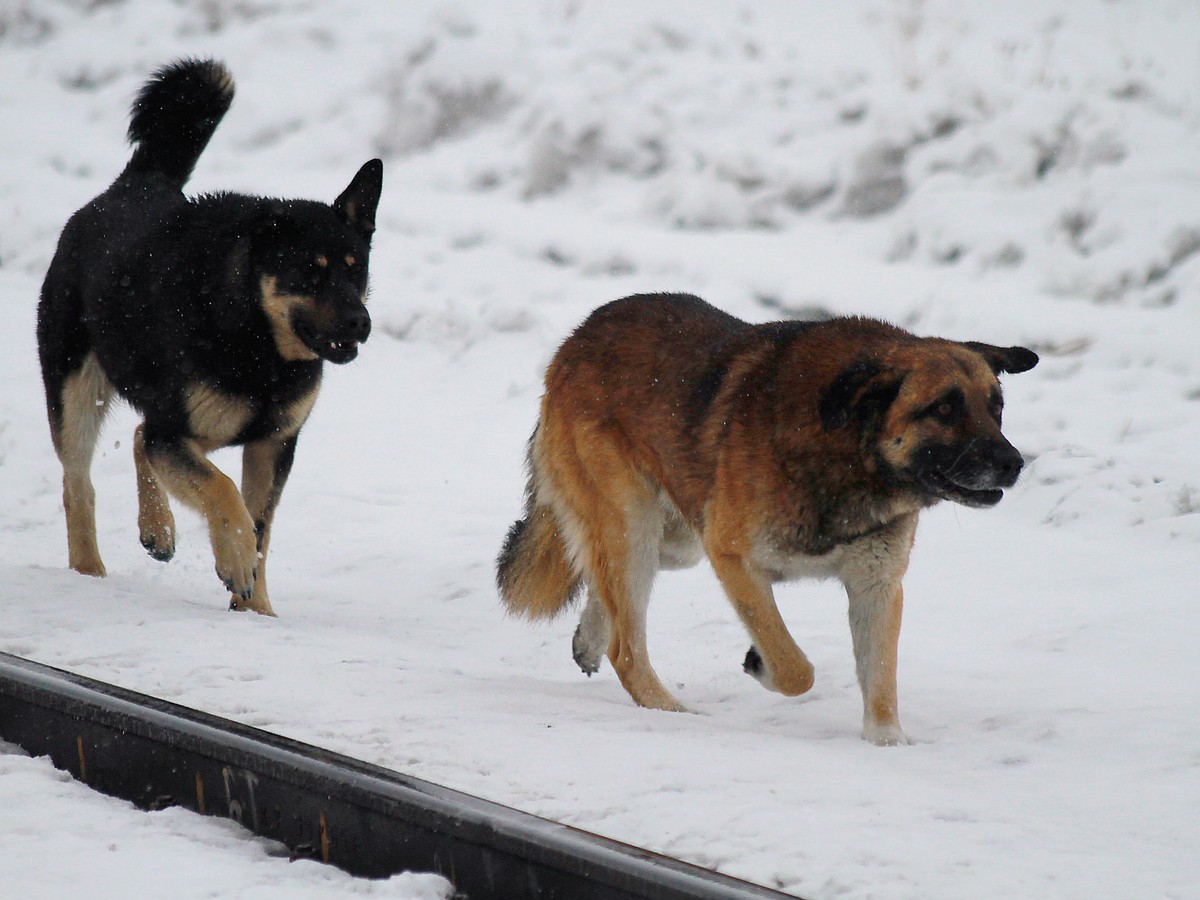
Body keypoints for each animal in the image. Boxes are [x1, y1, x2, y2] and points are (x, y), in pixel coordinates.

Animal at [38, 60, 384, 619]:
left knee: (139, 437)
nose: (360, 322)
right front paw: (235, 562)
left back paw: (157, 531)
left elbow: (261, 525)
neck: (257, 341)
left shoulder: (272, 443)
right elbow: (224, 493)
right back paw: (89, 570)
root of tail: (136, 184)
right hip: (76, 390)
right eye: (310, 274)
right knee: (78, 482)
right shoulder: (181, 430)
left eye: (356, 271)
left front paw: (257, 610)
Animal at [492, 296, 1036, 748]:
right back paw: (672, 712)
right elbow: (795, 668)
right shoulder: (734, 558)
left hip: (675, 538)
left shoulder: (877, 585)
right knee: (626, 648)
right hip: (636, 527)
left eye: (996, 407)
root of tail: (576, 339)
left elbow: (881, 677)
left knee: (602, 584)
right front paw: (762, 664)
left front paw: (887, 744)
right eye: (943, 409)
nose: (1013, 464)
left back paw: (590, 638)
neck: (847, 450)